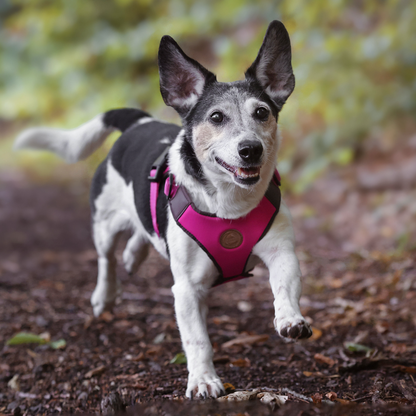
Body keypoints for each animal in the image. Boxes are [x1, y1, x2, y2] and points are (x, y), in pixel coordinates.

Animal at [13, 20, 312, 400]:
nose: (251, 149)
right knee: (106, 260)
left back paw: (134, 255)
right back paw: (105, 295)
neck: (229, 205)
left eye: (262, 112)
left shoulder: (281, 252)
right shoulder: (185, 288)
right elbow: (197, 339)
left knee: (141, 234)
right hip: (104, 225)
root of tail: (139, 122)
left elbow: (285, 286)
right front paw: (203, 380)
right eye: (217, 117)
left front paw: (290, 319)